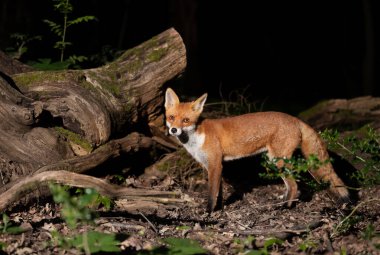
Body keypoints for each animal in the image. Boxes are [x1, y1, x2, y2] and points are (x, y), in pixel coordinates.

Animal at [164, 88, 350, 212]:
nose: (173, 130)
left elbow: (211, 193)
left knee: (295, 185)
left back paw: (285, 208)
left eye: (186, 120)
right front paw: (220, 209)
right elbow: (219, 193)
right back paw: (281, 202)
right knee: (291, 185)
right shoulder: (213, 165)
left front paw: (209, 212)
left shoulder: (215, 164)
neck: (196, 137)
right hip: (275, 160)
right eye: (171, 118)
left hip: (278, 161)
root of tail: (294, 118)